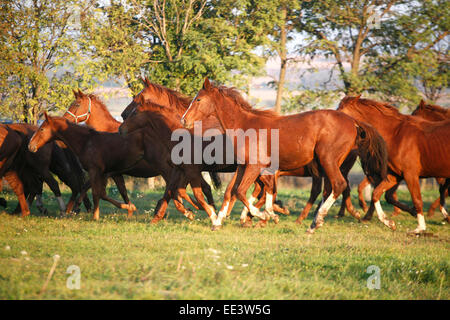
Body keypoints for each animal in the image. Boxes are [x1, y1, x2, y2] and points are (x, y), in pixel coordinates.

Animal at [64, 90, 217, 220]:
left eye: (76, 104)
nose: (65, 119)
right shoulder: (113, 173)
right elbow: (120, 191)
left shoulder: (107, 172)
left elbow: (90, 187)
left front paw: (73, 208)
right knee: (199, 188)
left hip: (169, 170)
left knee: (183, 190)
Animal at [181, 78, 388, 232]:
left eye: (198, 99)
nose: (184, 120)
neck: (244, 126)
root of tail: (353, 121)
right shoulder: (243, 166)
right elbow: (230, 192)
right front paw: (218, 222)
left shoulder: (255, 166)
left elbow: (241, 192)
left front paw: (265, 215)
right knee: (332, 188)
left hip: (328, 159)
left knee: (338, 185)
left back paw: (316, 223)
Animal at [338, 95, 450, 232]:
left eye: (342, 112)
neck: (396, 135)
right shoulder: (395, 175)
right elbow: (377, 194)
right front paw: (389, 222)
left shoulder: (410, 175)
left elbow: (417, 199)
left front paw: (420, 228)